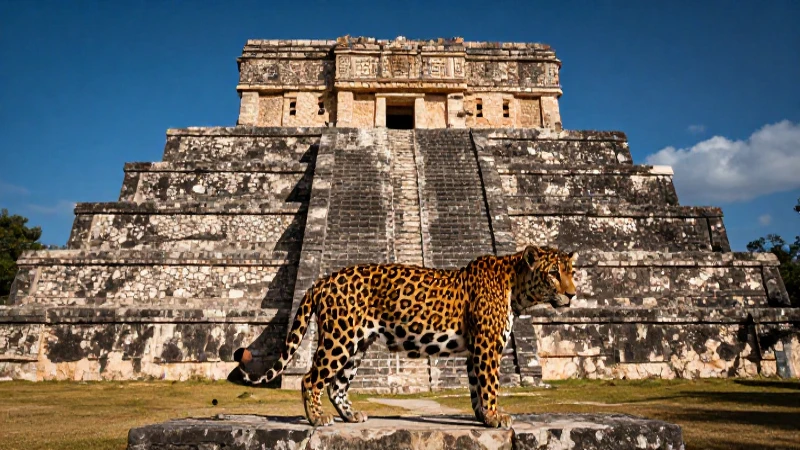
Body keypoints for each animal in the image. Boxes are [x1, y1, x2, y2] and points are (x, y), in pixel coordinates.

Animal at [233, 245, 577, 428]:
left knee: (336, 385)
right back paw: (318, 420)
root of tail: (323, 280)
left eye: (571, 272)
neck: (516, 288)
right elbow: (490, 385)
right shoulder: (487, 347)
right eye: (553, 274)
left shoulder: (474, 350)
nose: (573, 295)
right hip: (339, 338)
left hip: (357, 344)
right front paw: (495, 416)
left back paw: (351, 416)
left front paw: (482, 416)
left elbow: (475, 387)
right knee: (310, 379)